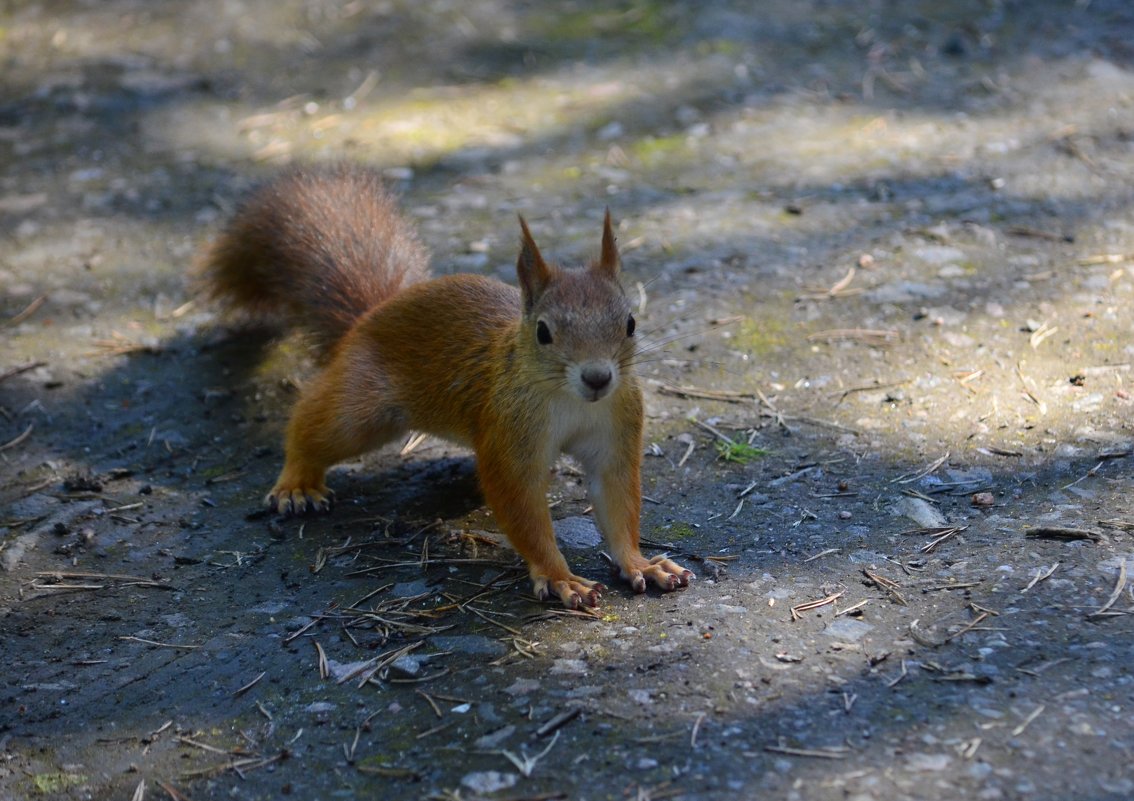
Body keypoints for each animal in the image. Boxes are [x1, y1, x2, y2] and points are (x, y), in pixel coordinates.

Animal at [197, 165, 689, 608]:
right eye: (543, 332)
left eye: (630, 323)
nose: (597, 377)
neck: (571, 401)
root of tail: (368, 316)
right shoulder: (508, 433)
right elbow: (522, 508)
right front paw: (560, 577)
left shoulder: (616, 428)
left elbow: (617, 501)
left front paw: (641, 564)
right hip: (362, 412)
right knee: (312, 423)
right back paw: (297, 482)